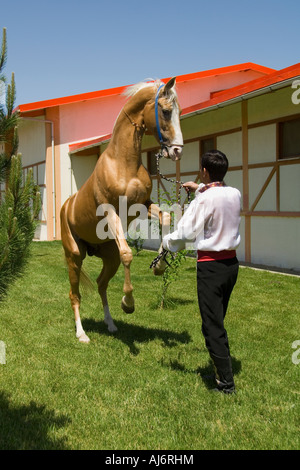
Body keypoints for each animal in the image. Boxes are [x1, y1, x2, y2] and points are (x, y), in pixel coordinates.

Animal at [60, 76, 183, 342]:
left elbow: (165, 217)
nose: (177, 150)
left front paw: (159, 265)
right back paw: (81, 334)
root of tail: (66, 206)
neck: (123, 164)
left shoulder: (143, 205)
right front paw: (128, 303)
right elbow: (128, 253)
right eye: (166, 111)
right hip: (74, 256)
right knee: (75, 294)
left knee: (101, 284)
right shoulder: (110, 211)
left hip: (109, 256)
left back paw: (110, 324)